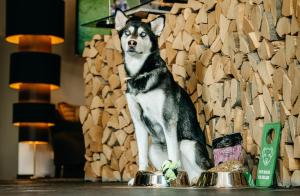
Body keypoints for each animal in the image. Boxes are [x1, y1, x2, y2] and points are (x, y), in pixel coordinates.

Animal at [115, 10, 211, 182]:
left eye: (143, 34)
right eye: (127, 33)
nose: (132, 42)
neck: (141, 75)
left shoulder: (168, 120)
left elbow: (173, 153)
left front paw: (173, 175)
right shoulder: (138, 123)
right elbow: (141, 155)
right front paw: (140, 174)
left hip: (187, 144)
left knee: (202, 170)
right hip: (154, 148)